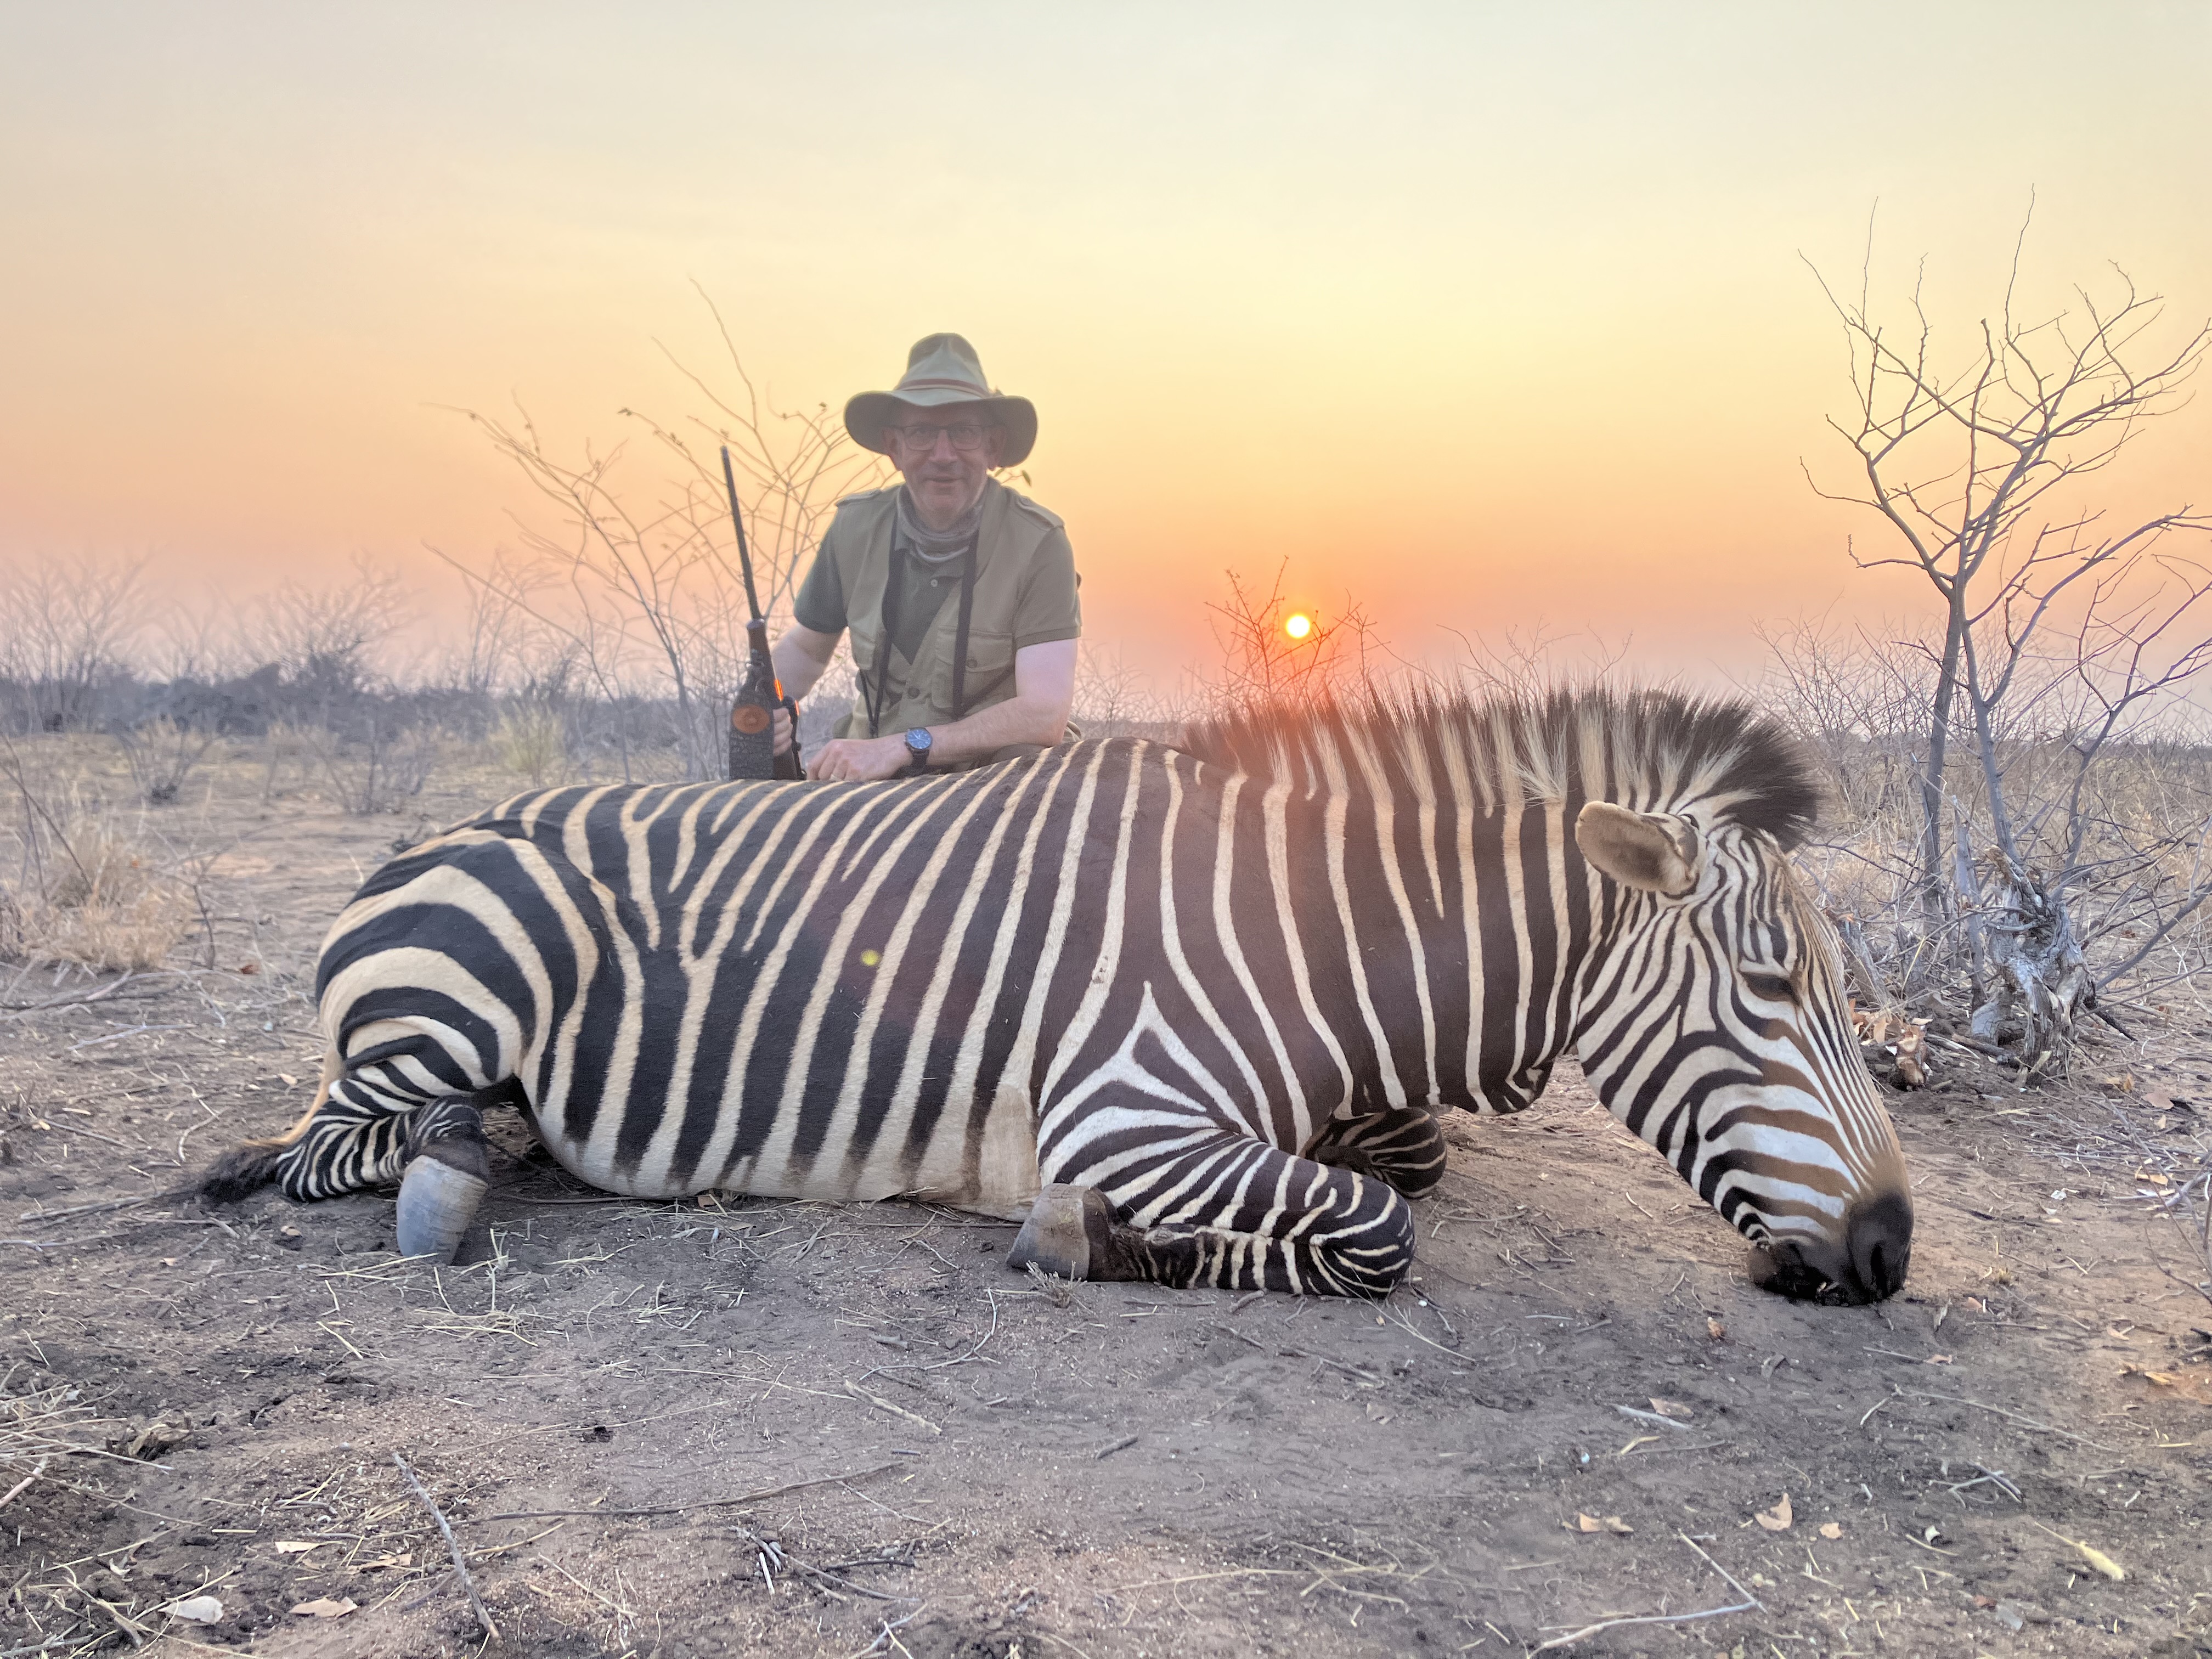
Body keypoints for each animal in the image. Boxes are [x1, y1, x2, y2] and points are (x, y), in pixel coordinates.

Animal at [202, 688, 1912, 1304]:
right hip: (461, 994)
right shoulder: (1125, 1116)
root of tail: (440, 834)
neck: (1311, 941)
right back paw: (454, 1169)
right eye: (1774, 989)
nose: (1891, 1253)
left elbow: (1405, 1164)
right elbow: (1377, 1230)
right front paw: (1097, 1243)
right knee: (326, 1145)